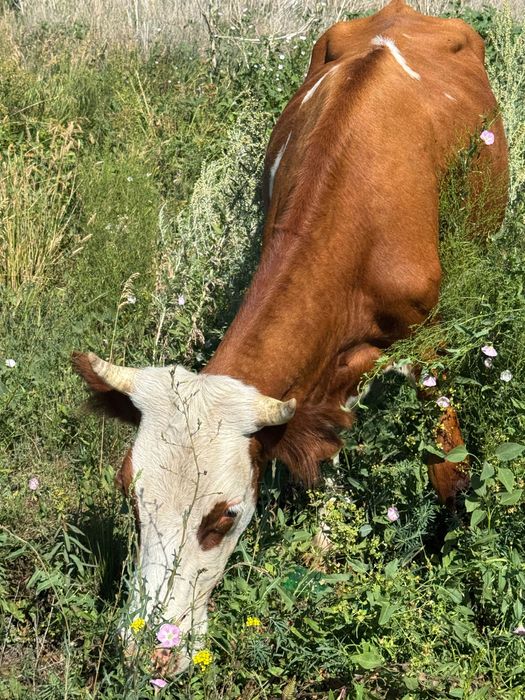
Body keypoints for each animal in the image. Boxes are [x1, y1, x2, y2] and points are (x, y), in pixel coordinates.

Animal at [72, 0, 508, 673]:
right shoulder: (324, 372)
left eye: (222, 519)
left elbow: (448, 466)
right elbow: (323, 450)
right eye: (132, 499)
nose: (150, 652)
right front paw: (322, 553)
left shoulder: (426, 339)